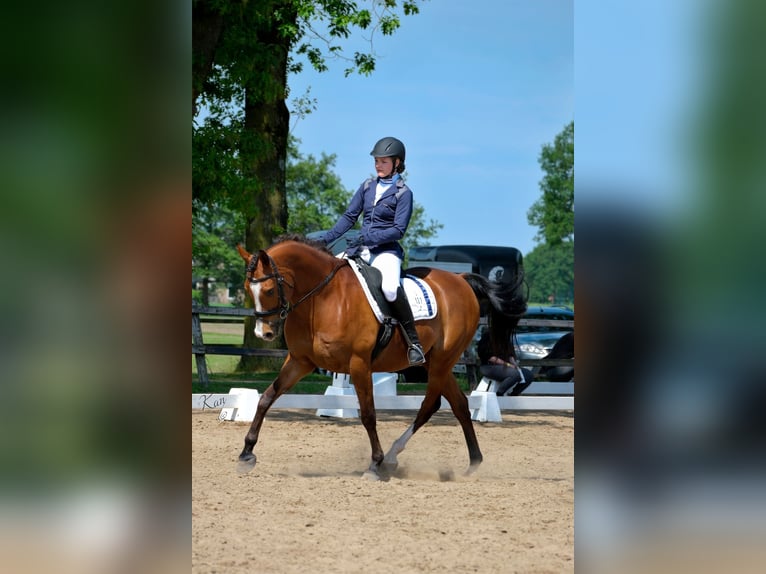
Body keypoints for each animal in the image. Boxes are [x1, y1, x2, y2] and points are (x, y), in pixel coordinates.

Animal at [235, 234, 527, 480]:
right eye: (248, 289)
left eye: (269, 290)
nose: (264, 333)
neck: (323, 297)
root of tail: (461, 280)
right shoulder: (300, 361)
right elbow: (267, 398)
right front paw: (246, 453)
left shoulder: (359, 364)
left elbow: (368, 414)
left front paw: (374, 464)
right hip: (436, 363)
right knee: (459, 405)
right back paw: (472, 463)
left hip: (442, 361)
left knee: (429, 405)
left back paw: (390, 458)